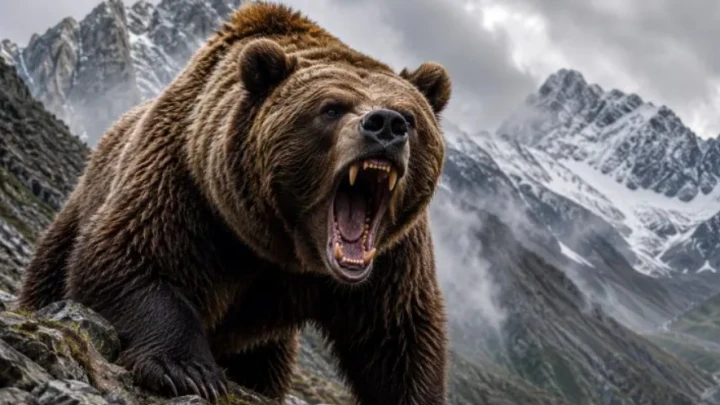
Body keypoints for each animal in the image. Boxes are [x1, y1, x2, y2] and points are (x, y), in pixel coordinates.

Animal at [17, 2, 452, 404]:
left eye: (411, 117)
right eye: (331, 108)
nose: (386, 125)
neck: (284, 249)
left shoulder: (392, 259)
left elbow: (400, 335)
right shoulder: (188, 184)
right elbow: (128, 258)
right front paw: (187, 371)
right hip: (76, 212)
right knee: (51, 271)